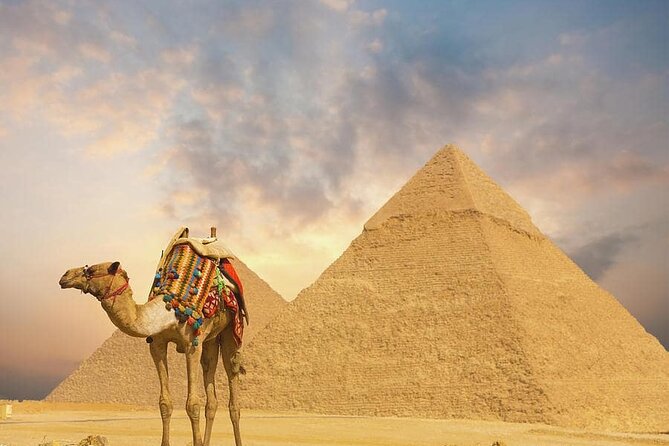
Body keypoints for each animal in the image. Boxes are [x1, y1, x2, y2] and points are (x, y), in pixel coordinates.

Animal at [58, 259, 243, 446]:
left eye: (92, 270)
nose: (65, 276)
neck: (169, 312)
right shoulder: (157, 345)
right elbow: (165, 403)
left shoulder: (192, 344)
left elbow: (193, 404)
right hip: (210, 340)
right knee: (211, 389)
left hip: (229, 332)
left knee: (232, 379)